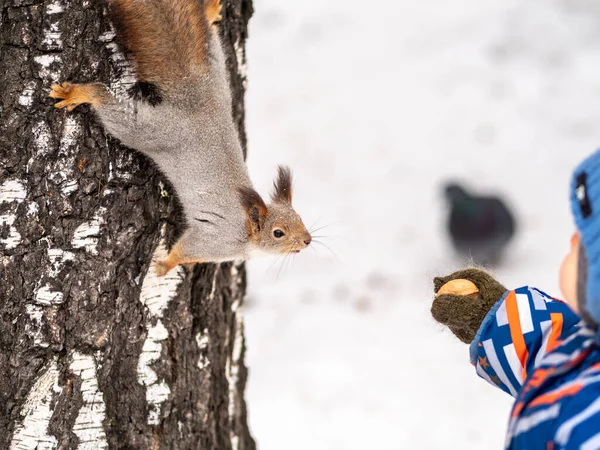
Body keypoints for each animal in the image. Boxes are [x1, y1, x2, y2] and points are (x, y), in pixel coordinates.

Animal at [49, 0, 312, 274]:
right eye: (278, 233)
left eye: (300, 218)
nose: (308, 240)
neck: (247, 236)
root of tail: (194, 95)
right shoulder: (212, 240)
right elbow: (183, 250)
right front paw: (165, 265)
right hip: (153, 130)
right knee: (112, 107)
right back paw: (82, 94)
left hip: (217, 71)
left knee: (211, 41)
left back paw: (210, 13)